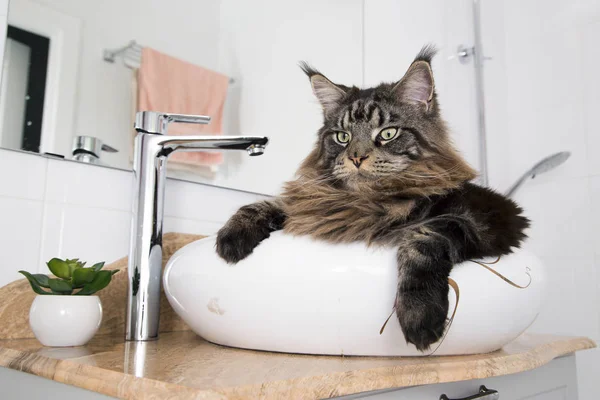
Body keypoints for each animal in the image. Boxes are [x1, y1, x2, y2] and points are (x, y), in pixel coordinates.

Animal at [214, 47, 524, 352]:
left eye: (388, 133)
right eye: (342, 136)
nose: (356, 157)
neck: (365, 202)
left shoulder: (492, 214)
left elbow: (423, 238)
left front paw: (420, 314)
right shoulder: (314, 206)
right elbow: (268, 203)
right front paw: (231, 238)